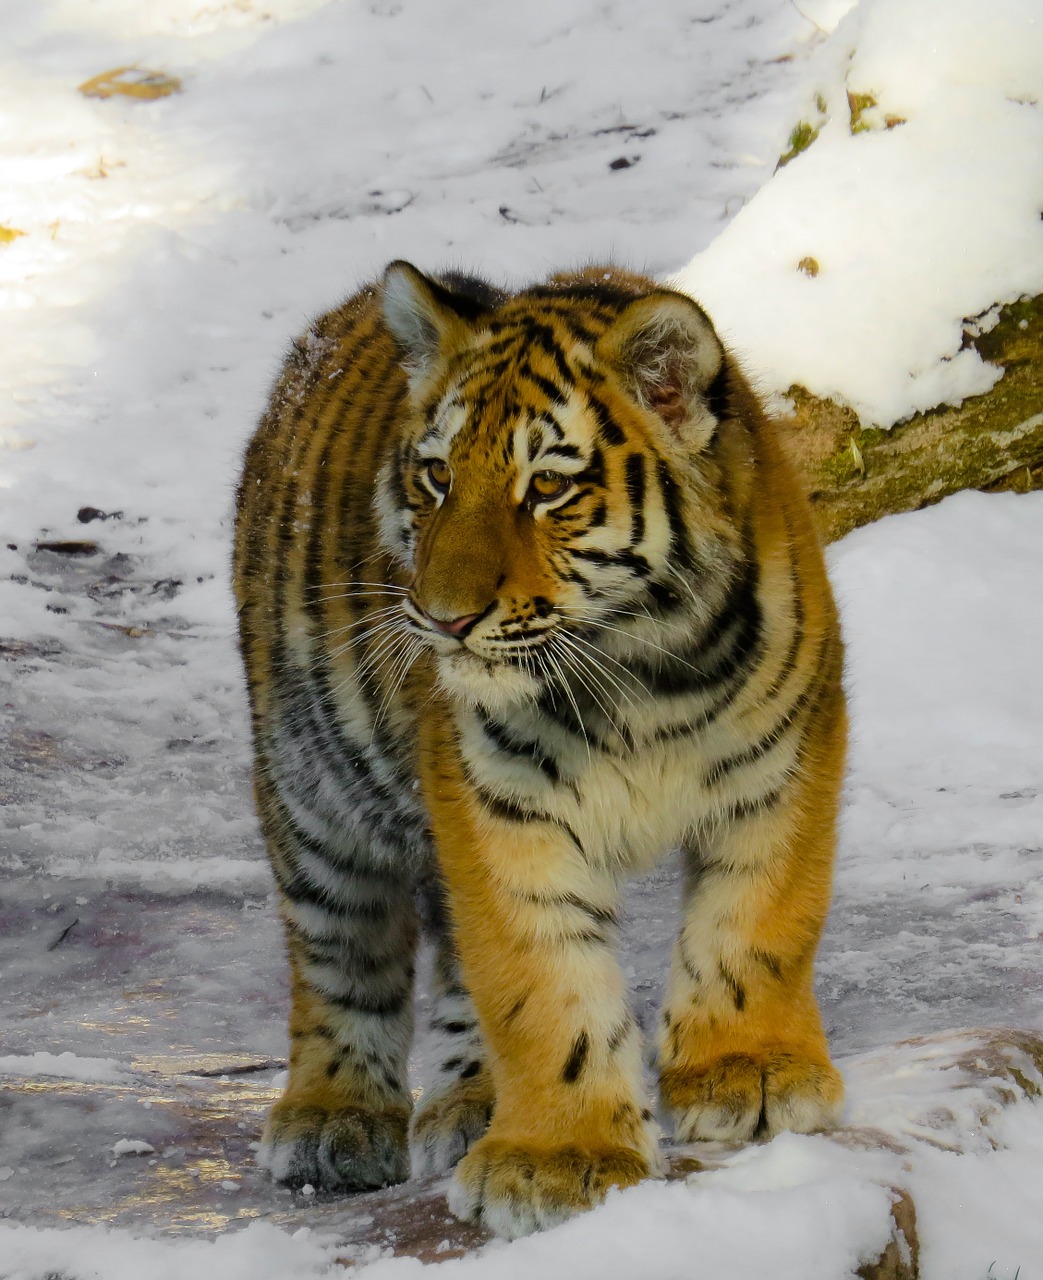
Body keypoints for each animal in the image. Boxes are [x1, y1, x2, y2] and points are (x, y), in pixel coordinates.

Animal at [234, 262, 849, 1239]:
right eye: (436, 477)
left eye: (548, 488)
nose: (443, 618)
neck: (637, 667)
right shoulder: (497, 803)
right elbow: (538, 982)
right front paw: (557, 1160)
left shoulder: (782, 759)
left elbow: (758, 923)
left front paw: (749, 1074)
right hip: (314, 786)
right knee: (340, 951)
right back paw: (334, 1119)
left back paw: (471, 1103)